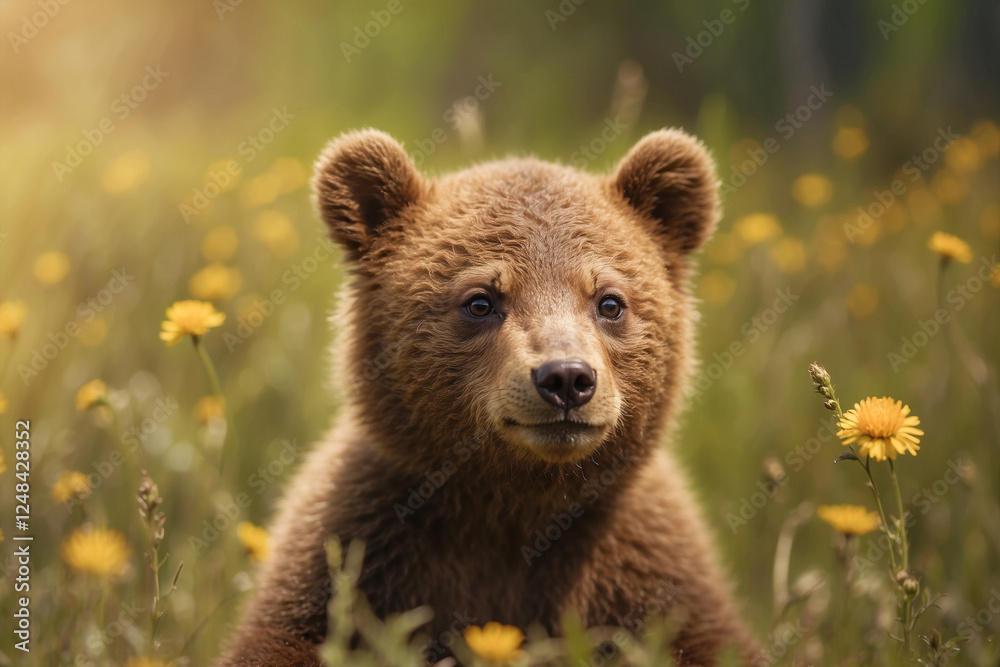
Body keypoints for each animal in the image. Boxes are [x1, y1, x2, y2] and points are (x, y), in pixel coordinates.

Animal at [216, 127, 761, 666]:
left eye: (610, 301)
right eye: (480, 301)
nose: (566, 378)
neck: (511, 506)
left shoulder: (647, 570)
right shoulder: (356, 550)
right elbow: (283, 636)